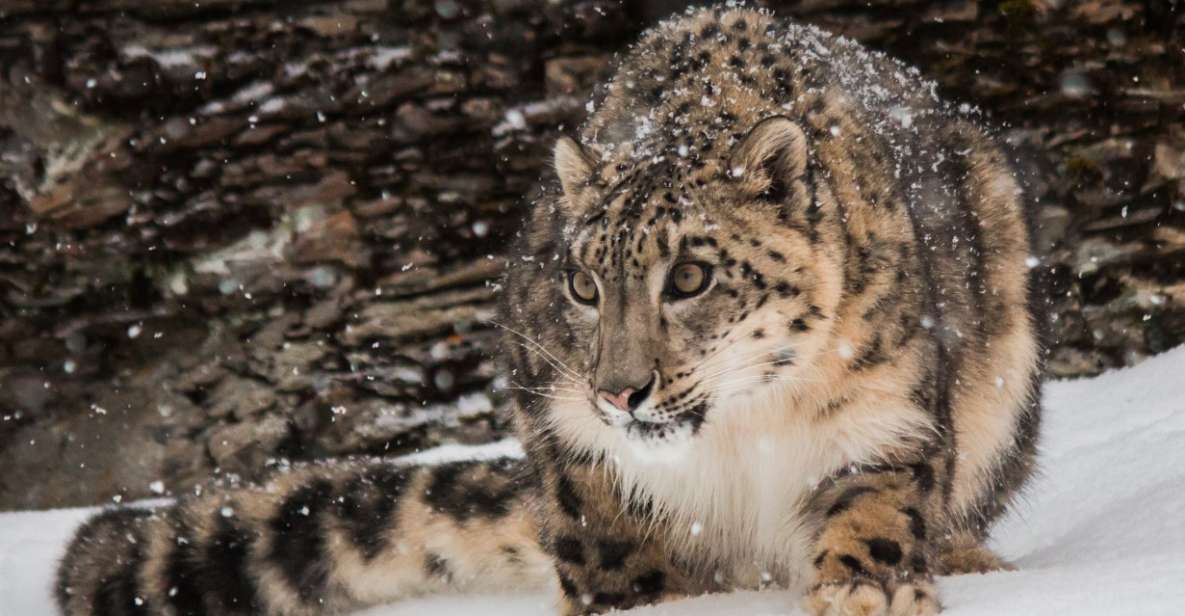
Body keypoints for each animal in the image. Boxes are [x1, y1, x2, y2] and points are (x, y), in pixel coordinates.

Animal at [55, 5, 1042, 616]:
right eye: (582, 283)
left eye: (690, 276)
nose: (619, 392)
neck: (740, 436)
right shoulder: (569, 434)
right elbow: (611, 544)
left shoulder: (885, 414)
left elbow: (874, 510)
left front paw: (866, 591)